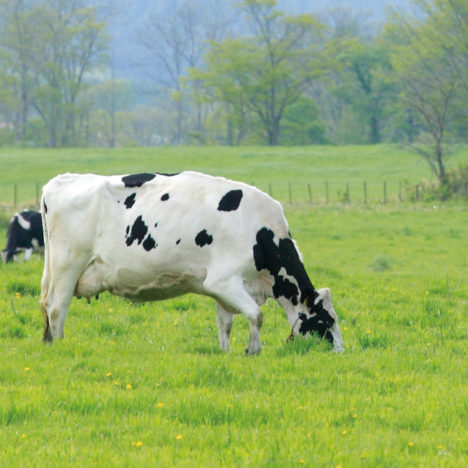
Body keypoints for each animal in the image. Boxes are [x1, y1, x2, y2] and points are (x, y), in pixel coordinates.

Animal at [40, 173, 344, 354]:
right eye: (326, 320)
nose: (339, 353)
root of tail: (60, 181)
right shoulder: (224, 280)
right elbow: (256, 314)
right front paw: (253, 351)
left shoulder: (223, 289)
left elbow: (226, 324)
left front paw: (225, 352)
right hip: (68, 266)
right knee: (57, 309)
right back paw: (60, 344)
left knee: (47, 305)